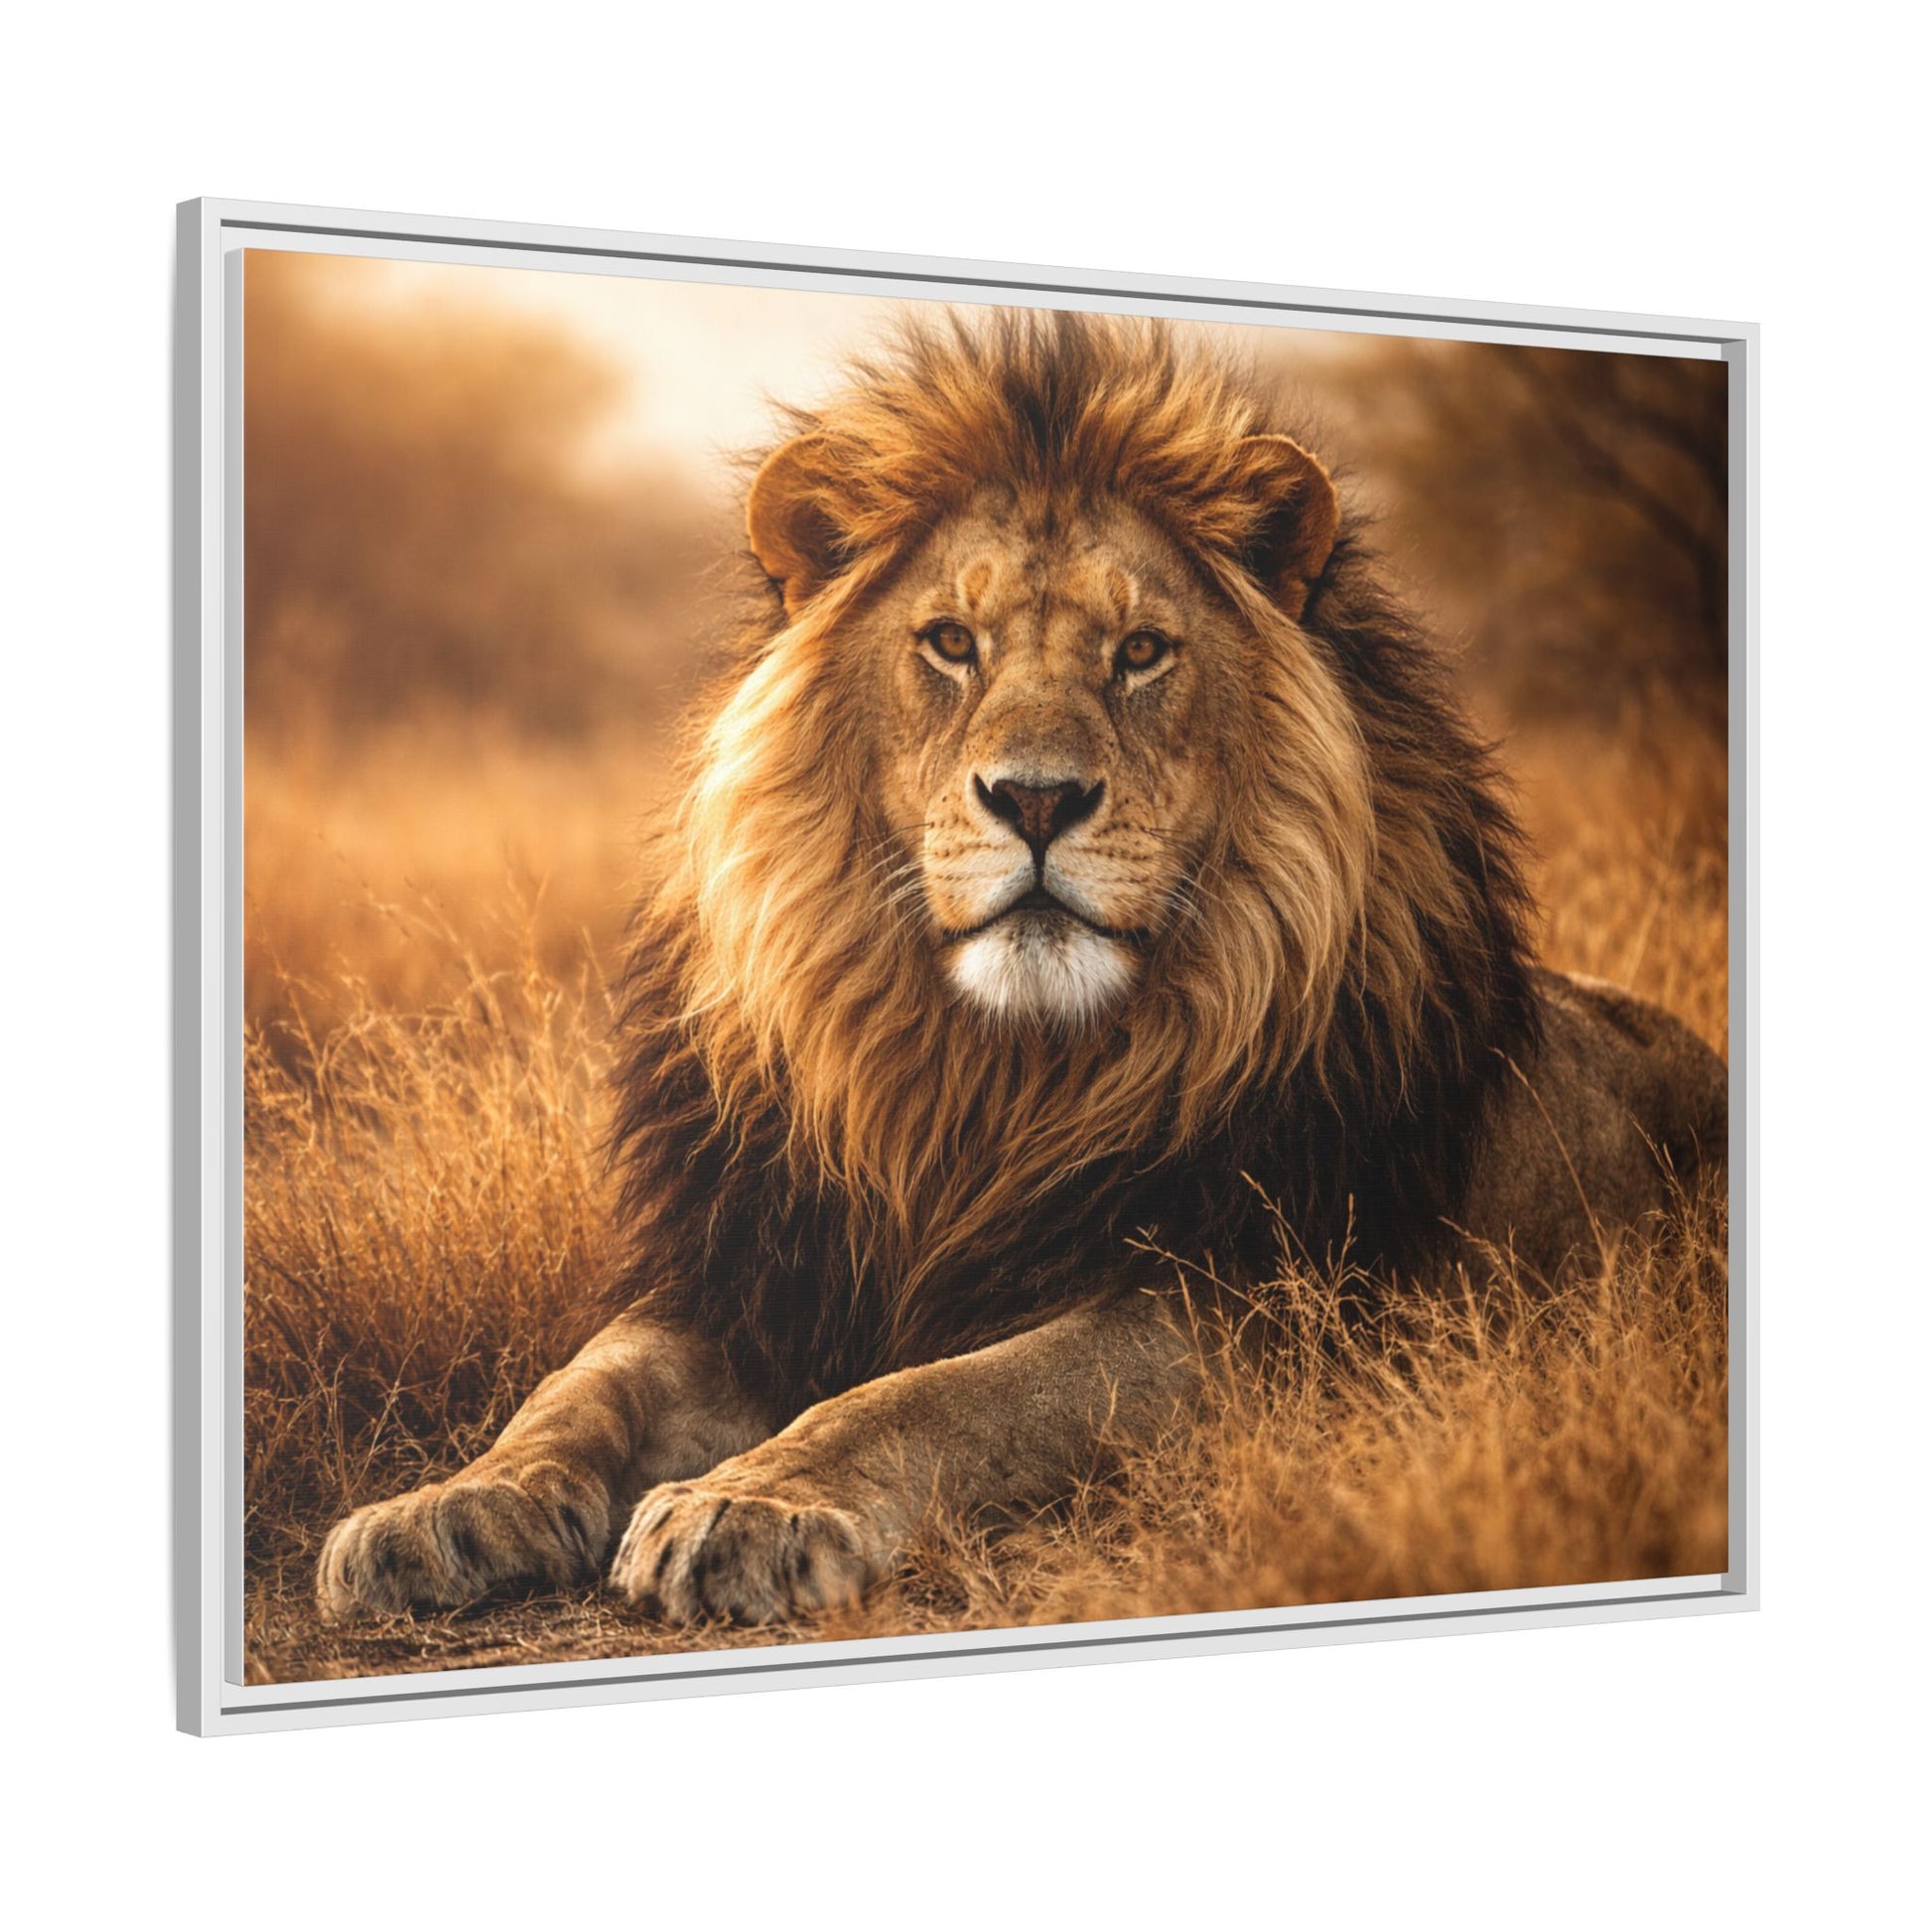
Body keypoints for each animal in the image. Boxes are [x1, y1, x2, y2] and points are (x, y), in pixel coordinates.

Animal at [317, 311, 1728, 1626]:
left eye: (1141, 651)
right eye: (951, 642)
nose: (1036, 799)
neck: (983, 1079)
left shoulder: (1240, 1309)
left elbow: (939, 1395)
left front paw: (750, 1502)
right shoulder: (755, 1269)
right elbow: (579, 1381)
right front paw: (439, 1507)